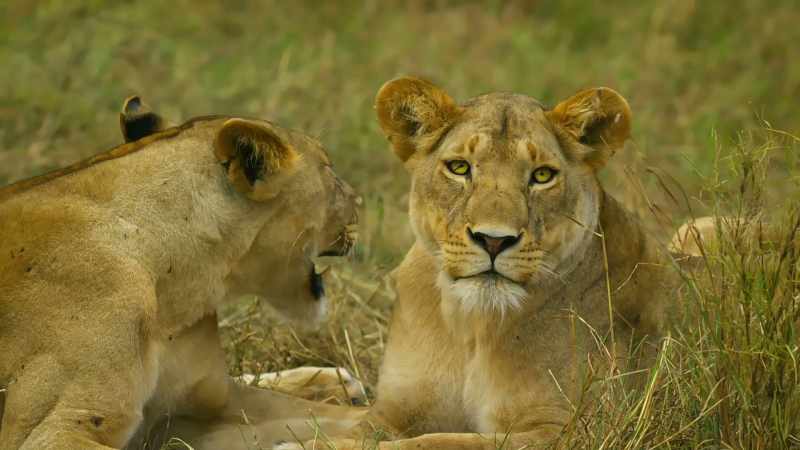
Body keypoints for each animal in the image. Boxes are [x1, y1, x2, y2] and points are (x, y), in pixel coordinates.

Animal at [277, 77, 683, 450]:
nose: (494, 240)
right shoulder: (393, 412)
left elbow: (438, 442)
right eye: (459, 168)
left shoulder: (576, 431)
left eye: (542, 175)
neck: (471, 326)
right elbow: (359, 435)